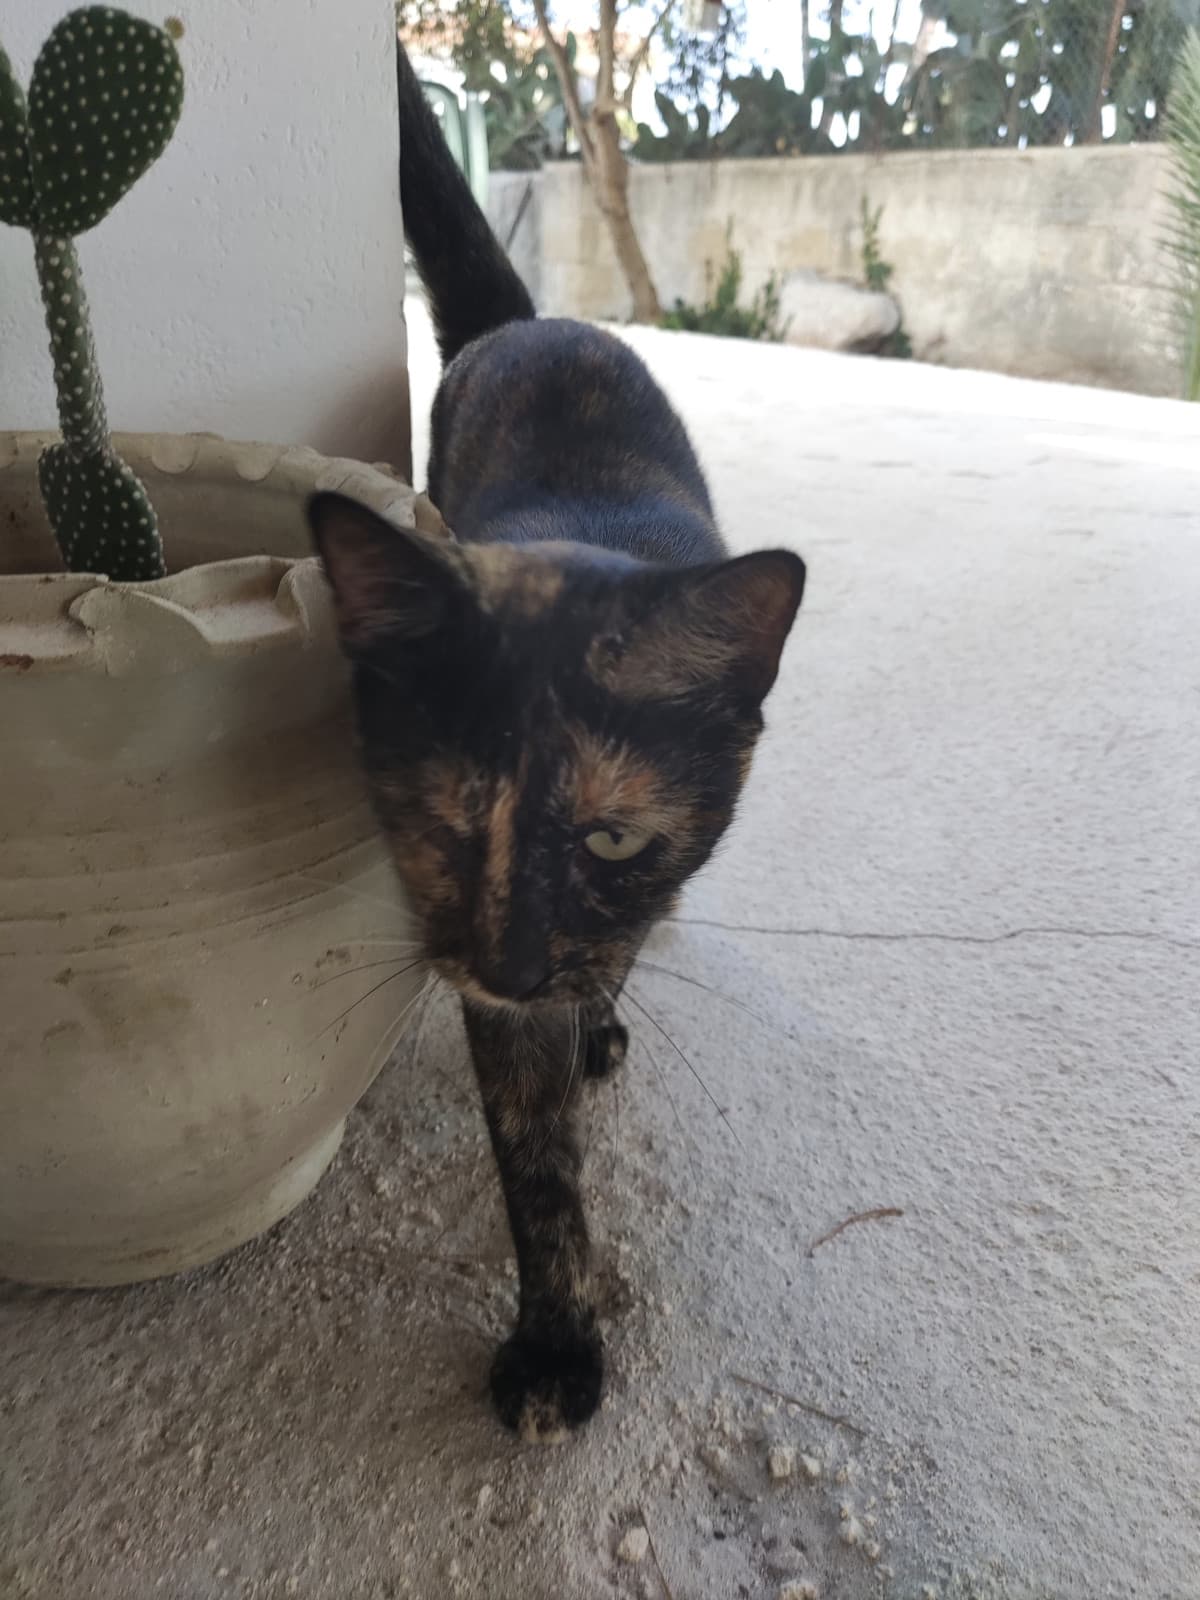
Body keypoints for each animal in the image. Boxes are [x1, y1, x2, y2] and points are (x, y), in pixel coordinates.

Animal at [307, 43, 809, 1446]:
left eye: (613, 835)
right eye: (439, 821)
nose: (514, 968)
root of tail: (531, 319)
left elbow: (621, 945)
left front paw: (595, 1014)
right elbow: (535, 1159)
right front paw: (553, 1343)